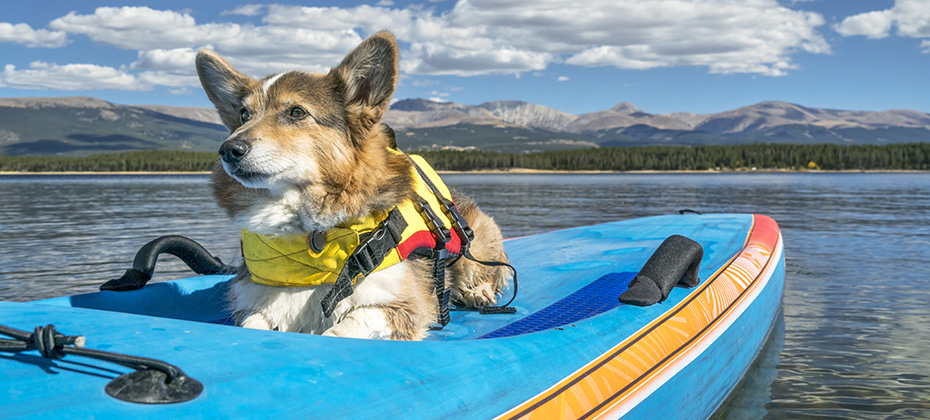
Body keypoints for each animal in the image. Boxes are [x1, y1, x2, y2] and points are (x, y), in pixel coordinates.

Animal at [194, 31, 508, 340]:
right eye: (244, 115)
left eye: (297, 112)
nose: (228, 150)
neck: (308, 233)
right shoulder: (257, 304)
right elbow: (252, 326)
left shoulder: (402, 305)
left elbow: (346, 327)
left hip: (474, 247)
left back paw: (478, 292)